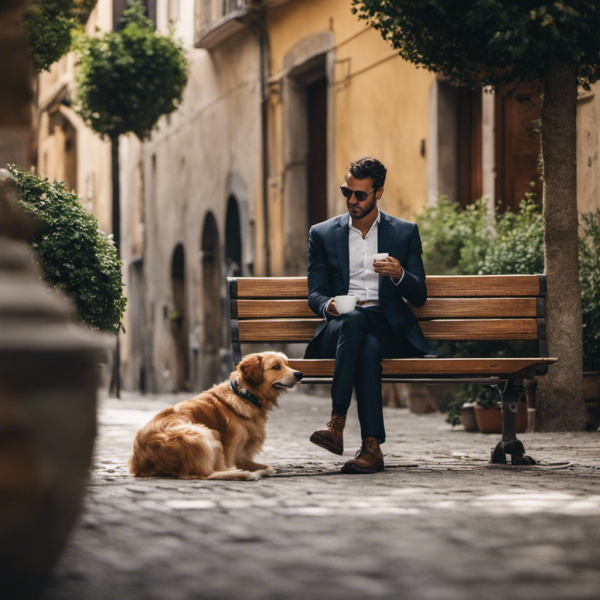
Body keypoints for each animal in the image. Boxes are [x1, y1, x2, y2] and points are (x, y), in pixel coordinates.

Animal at [128, 354, 302, 480]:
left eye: (287, 364)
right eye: (276, 367)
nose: (299, 373)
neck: (245, 395)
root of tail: (140, 461)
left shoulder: (240, 453)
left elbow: (258, 463)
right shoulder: (231, 448)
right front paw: (254, 470)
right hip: (203, 434)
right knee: (208, 474)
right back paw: (246, 474)